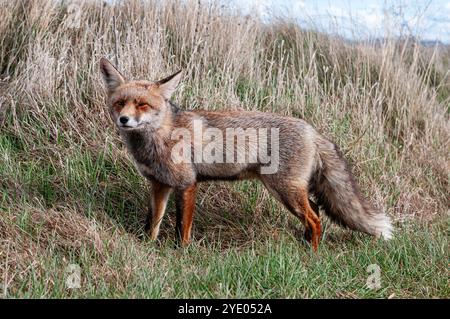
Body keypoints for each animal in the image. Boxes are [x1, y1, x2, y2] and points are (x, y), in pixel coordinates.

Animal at [100, 58, 392, 252]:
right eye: (119, 103)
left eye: (142, 105)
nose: (124, 120)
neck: (162, 136)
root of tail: (313, 130)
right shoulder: (159, 184)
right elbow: (154, 222)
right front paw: (148, 245)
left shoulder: (187, 183)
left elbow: (182, 226)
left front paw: (181, 253)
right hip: (290, 191)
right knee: (316, 211)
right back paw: (305, 244)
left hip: (285, 191)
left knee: (315, 218)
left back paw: (312, 254)